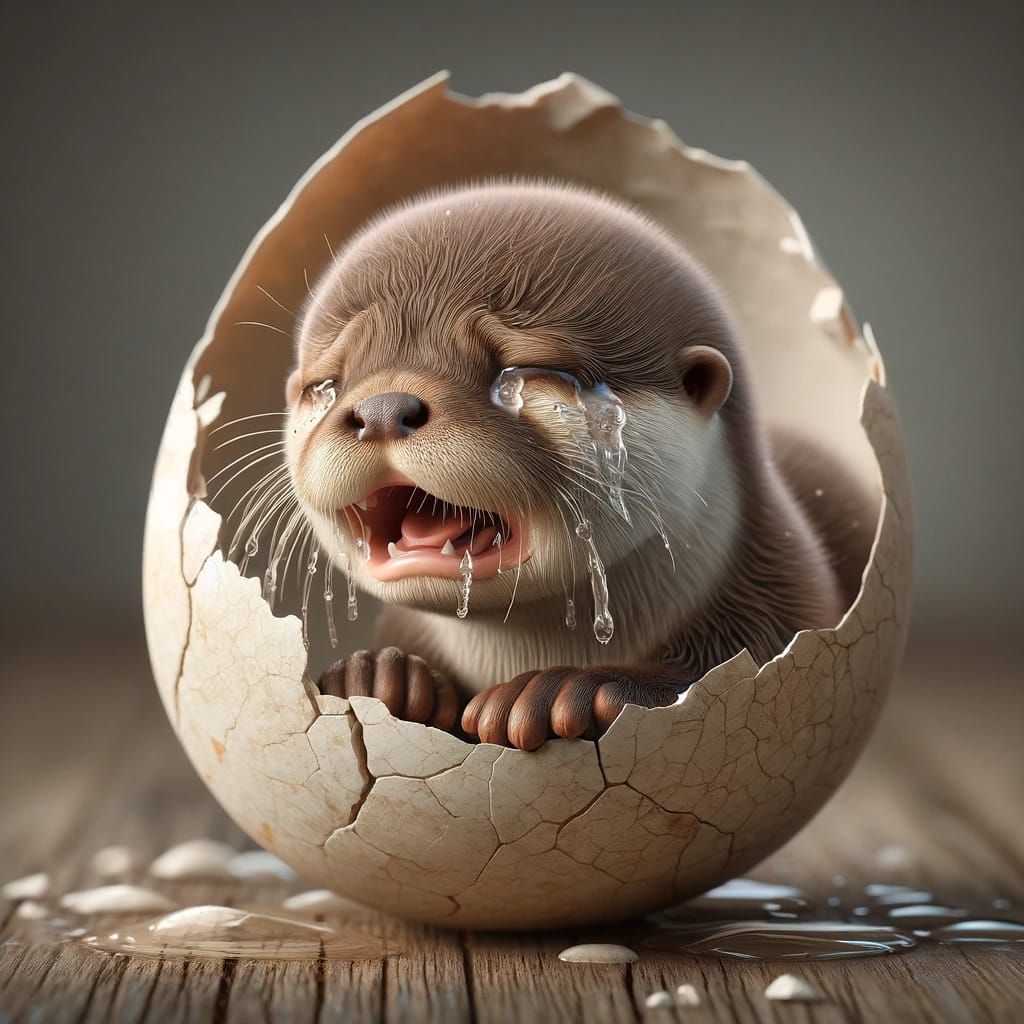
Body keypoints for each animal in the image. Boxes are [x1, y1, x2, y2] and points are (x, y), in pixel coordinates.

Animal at [283, 182, 875, 751]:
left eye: (520, 371)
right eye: (328, 384)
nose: (382, 409)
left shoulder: (782, 593)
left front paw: (566, 688)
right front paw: (380, 676)